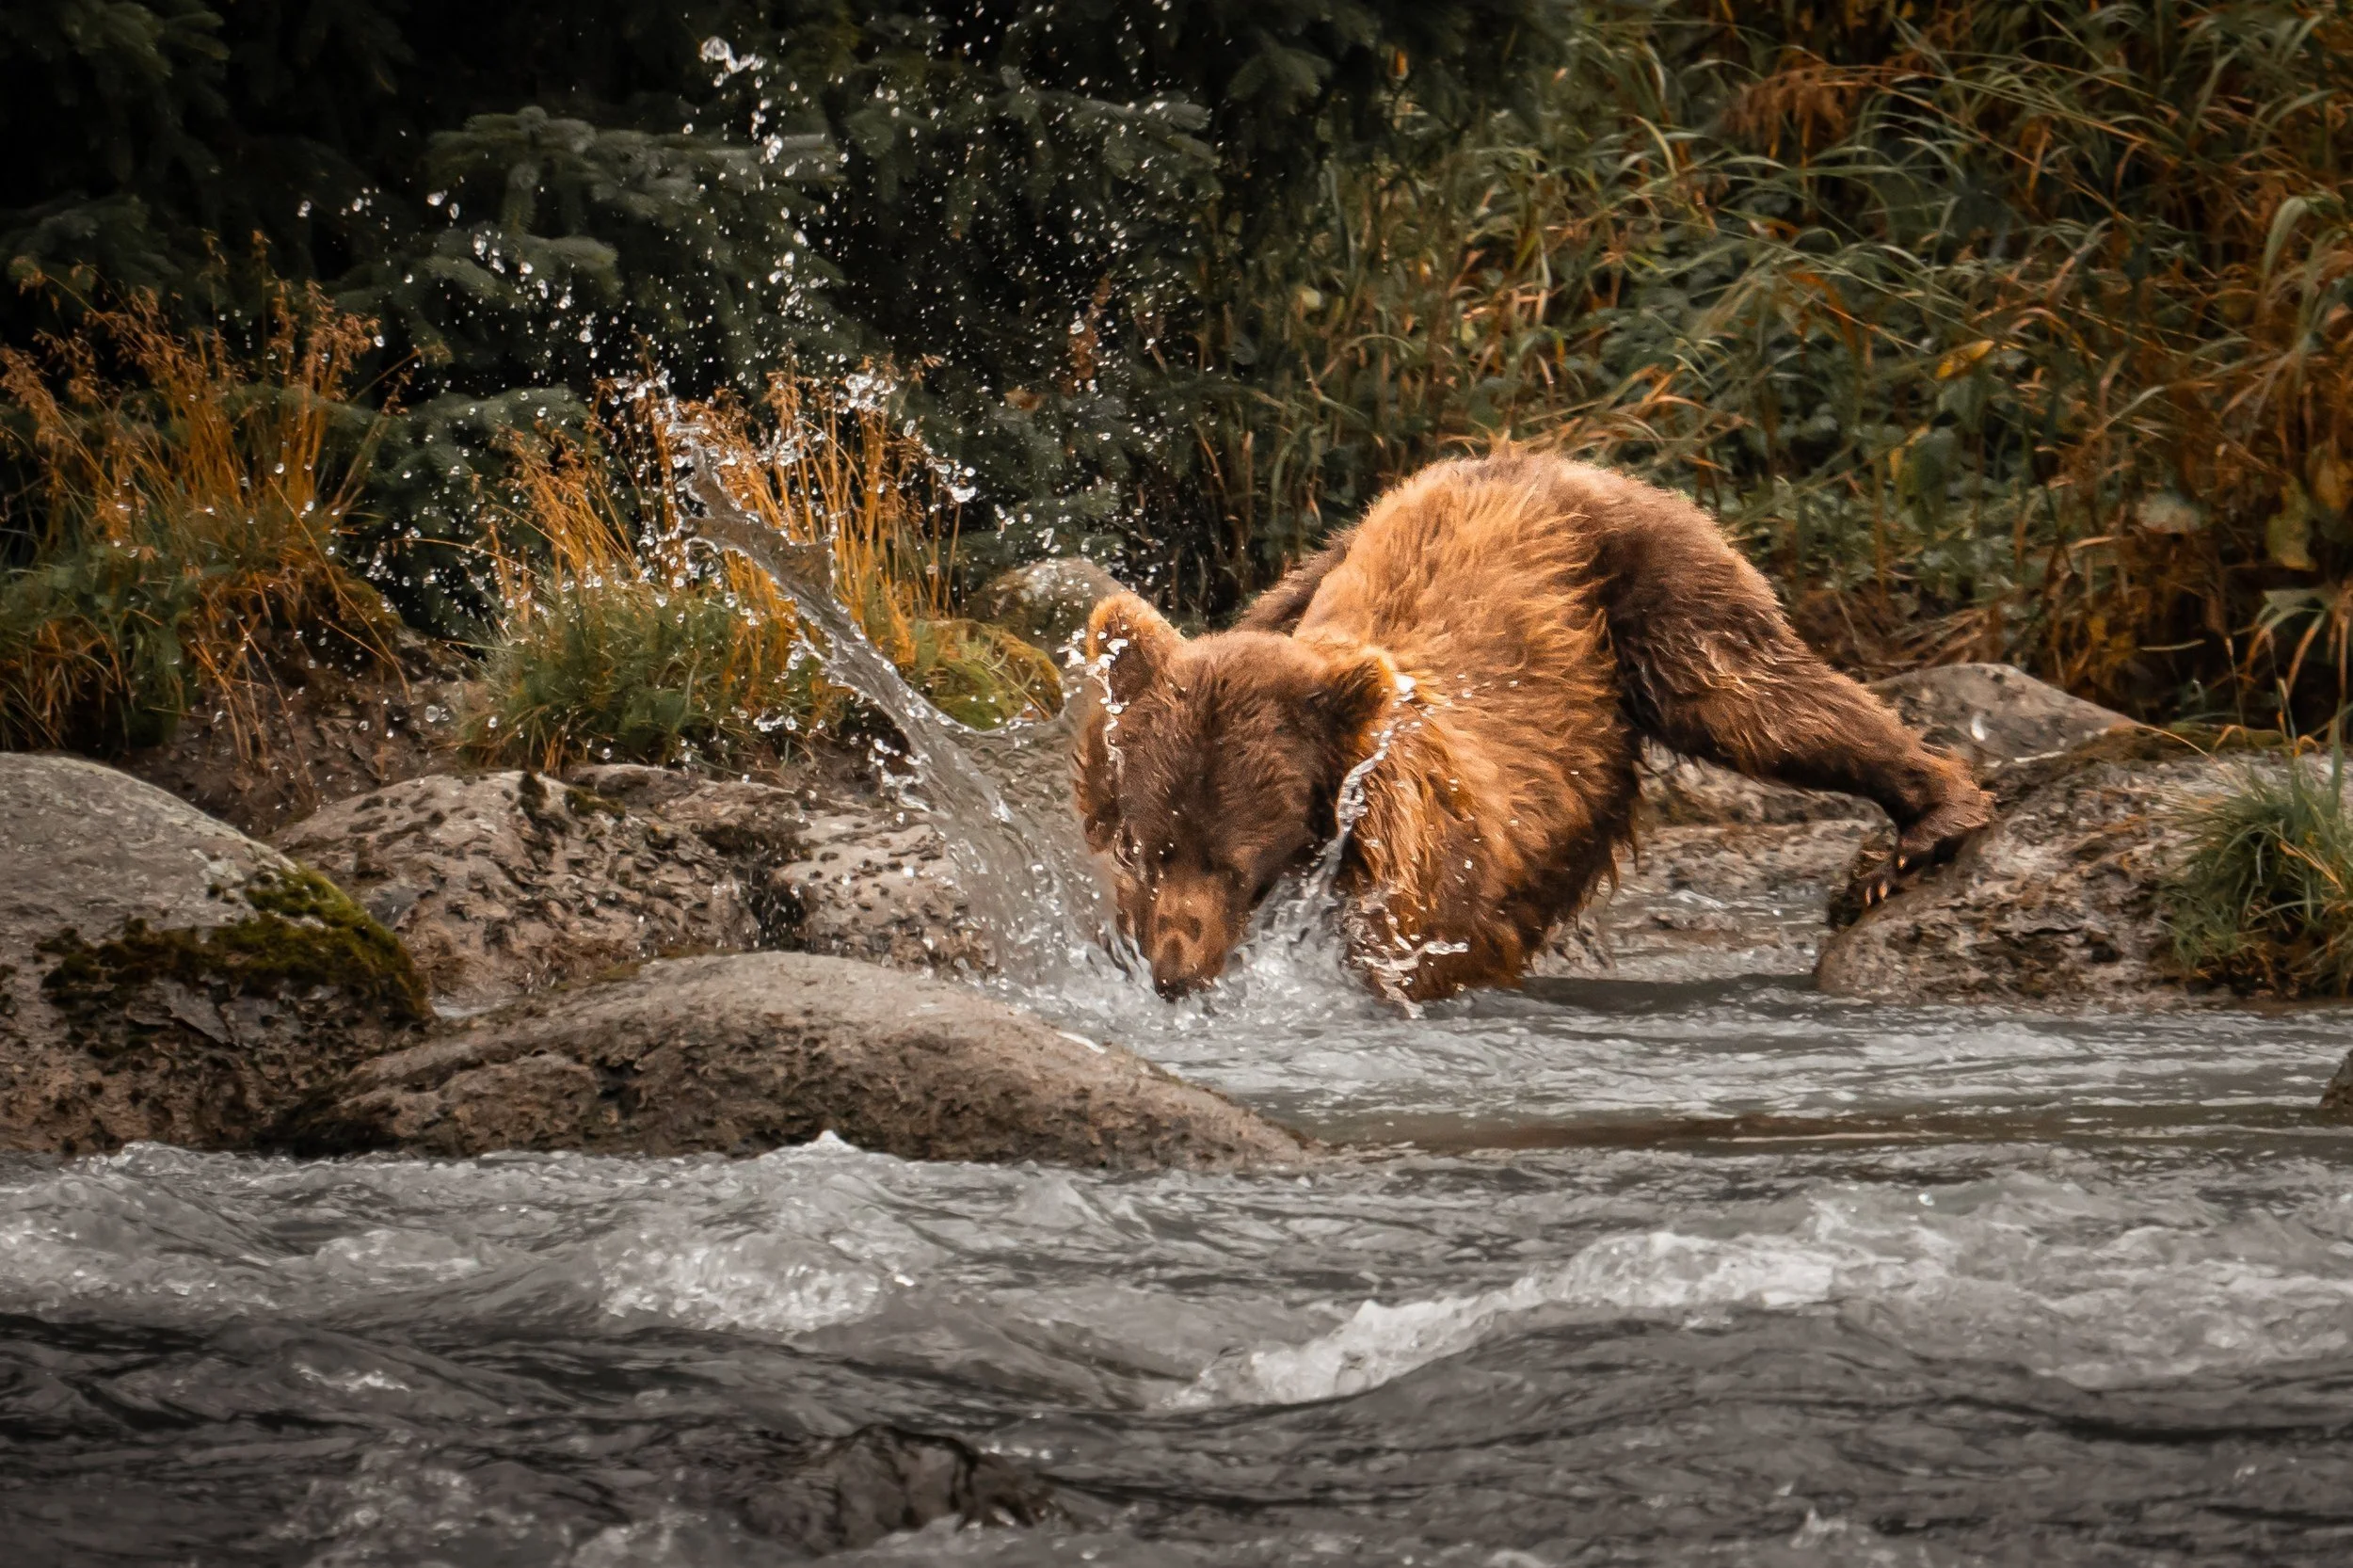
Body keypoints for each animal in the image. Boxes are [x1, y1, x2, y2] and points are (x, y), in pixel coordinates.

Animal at [1073, 452, 1993, 1002]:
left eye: (1234, 861)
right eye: (1148, 847)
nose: (1175, 969)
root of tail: (1548, 463)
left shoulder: (1410, 883)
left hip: (1649, 583)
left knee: (1756, 698)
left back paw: (1926, 823)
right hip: (1315, 562)